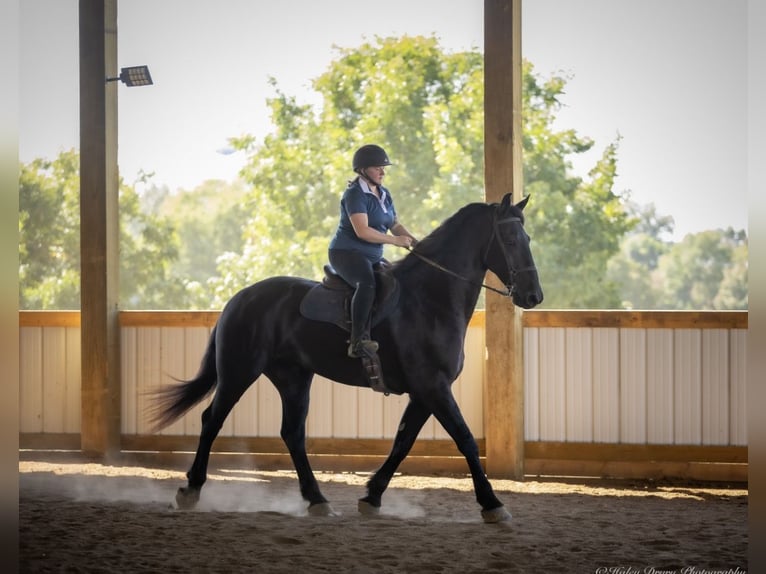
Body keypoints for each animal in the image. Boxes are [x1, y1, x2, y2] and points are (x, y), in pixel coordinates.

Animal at [150, 192, 543, 523]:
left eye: (528, 239)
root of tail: (239, 298)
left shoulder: (424, 392)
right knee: (212, 420)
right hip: (239, 371)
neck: (430, 299)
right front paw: (492, 504)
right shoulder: (434, 387)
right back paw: (190, 490)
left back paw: (317, 500)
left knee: (292, 433)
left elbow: (403, 442)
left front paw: (372, 497)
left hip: (293, 377)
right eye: (510, 240)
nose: (533, 296)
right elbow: (464, 439)